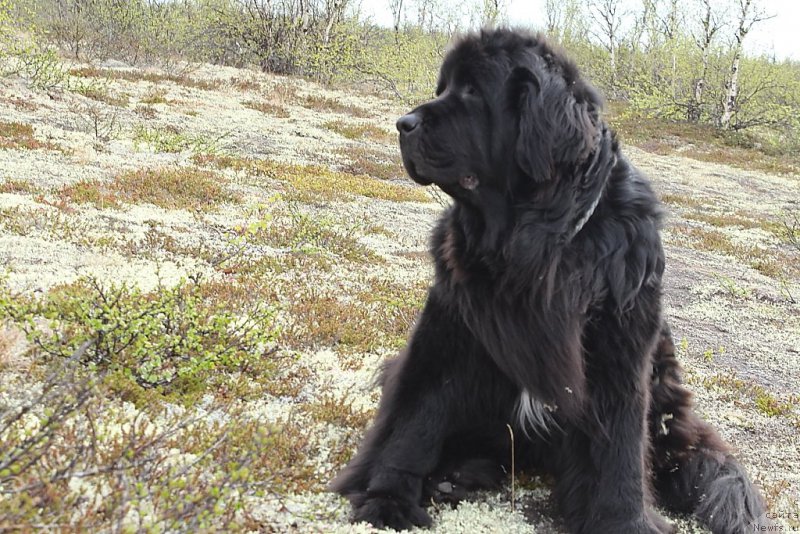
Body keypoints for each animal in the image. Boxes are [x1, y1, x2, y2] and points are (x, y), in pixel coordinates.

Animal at [330, 28, 764, 534]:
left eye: (473, 91)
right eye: (444, 88)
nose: (403, 123)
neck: (533, 247)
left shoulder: (617, 356)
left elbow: (620, 452)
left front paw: (624, 520)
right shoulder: (447, 332)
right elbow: (413, 422)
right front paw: (387, 498)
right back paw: (454, 475)